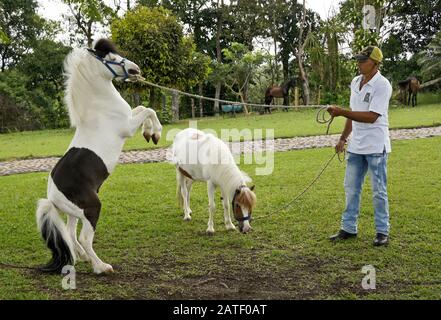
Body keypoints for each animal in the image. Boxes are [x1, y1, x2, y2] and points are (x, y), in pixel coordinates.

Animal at [34, 39, 162, 276]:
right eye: (111, 58)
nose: (135, 70)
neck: (100, 107)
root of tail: (52, 197)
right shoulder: (127, 127)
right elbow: (149, 109)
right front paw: (155, 133)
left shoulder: (130, 117)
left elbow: (142, 107)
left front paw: (149, 134)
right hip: (91, 208)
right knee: (84, 238)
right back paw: (101, 266)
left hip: (75, 213)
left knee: (70, 233)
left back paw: (84, 258)